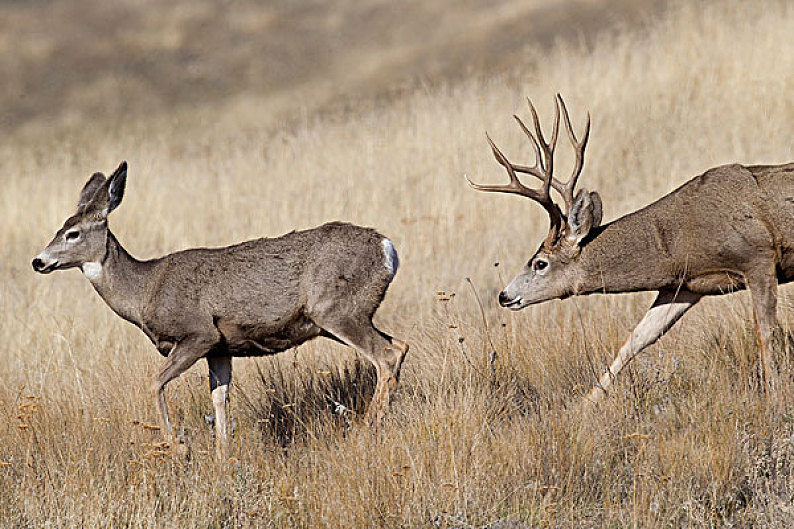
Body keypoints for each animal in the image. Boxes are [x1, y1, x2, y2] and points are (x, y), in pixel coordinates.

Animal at [31, 163, 408, 452]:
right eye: (61, 228)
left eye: (73, 234)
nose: (38, 261)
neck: (144, 290)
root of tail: (387, 248)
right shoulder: (222, 347)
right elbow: (219, 397)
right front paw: (222, 456)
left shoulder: (199, 333)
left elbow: (154, 382)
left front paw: (179, 446)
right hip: (342, 316)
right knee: (399, 345)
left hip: (335, 310)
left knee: (385, 355)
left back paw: (366, 430)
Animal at [468, 95, 792, 402]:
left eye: (540, 263)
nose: (504, 295)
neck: (685, 235)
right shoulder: (684, 285)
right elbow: (637, 339)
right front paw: (585, 405)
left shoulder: (758, 258)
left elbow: (766, 333)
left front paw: (774, 397)